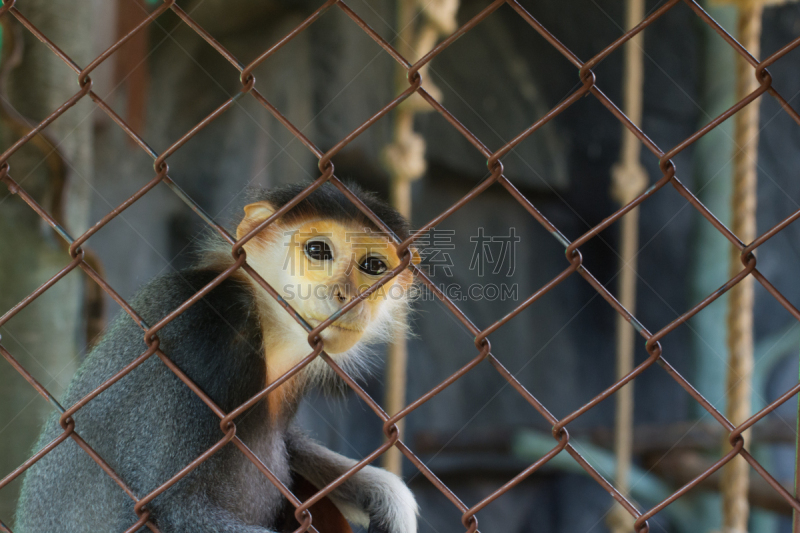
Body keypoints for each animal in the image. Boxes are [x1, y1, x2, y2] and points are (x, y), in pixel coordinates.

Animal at [15, 184, 422, 532]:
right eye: (319, 251)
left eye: (373, 266)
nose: (346, 296)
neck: (264, 317)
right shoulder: (204, 329)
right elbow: (178, 510)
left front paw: (389, 498)